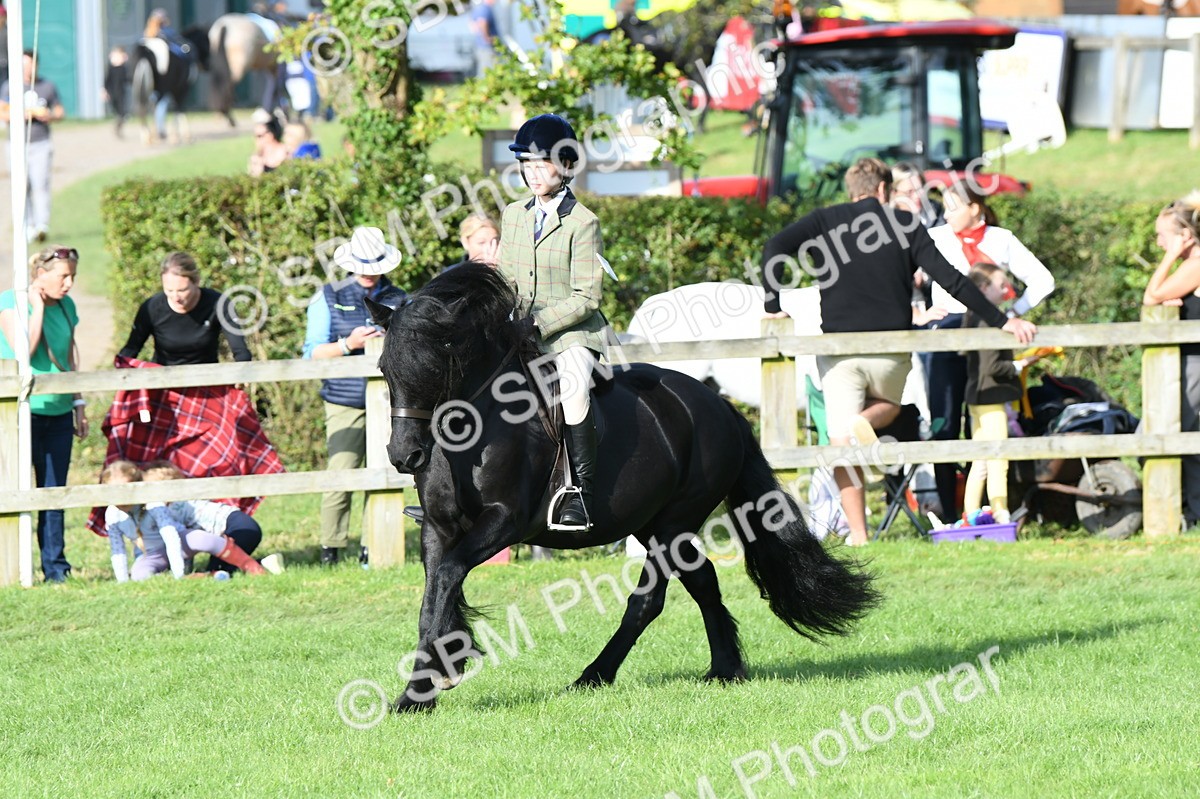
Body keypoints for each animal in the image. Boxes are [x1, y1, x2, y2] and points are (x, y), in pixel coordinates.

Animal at [369, 263, 881, 712]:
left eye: (437, 366)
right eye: (385, 368)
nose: (403, 455)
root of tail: (715, 404)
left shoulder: (503, 523)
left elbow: (448, 577)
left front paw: (425, 687)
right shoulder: (438, 527)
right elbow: (435, 590)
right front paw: (426, 685)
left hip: (674, 522)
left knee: (649, 600)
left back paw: (594, 676)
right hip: (652, 524)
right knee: (703, 580)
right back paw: (725, 668)